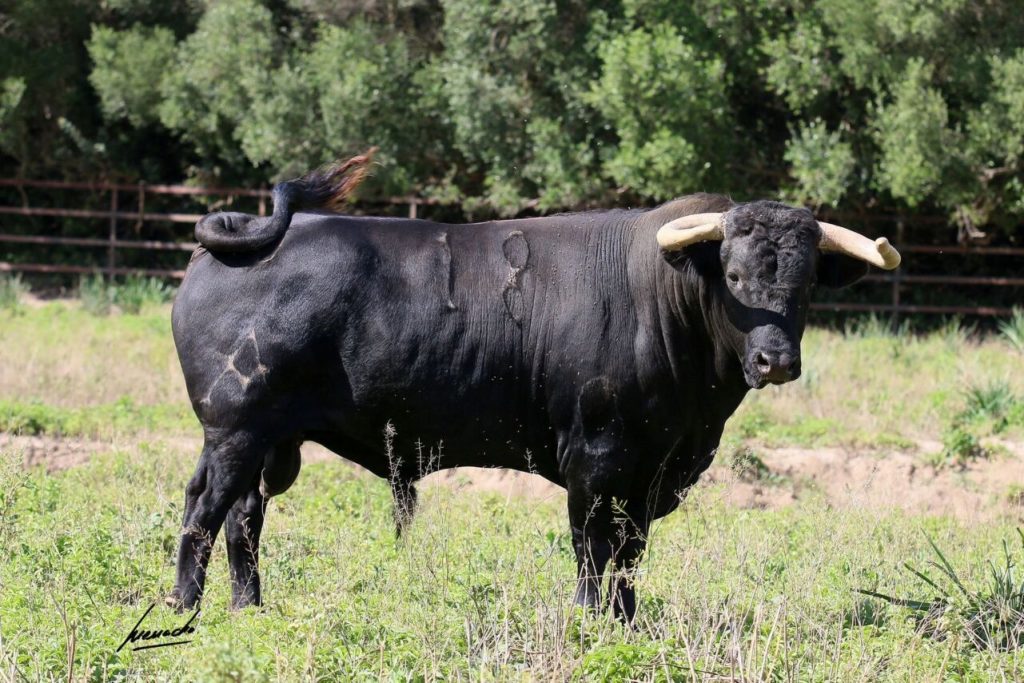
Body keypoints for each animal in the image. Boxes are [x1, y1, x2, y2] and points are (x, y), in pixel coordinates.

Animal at [165, 178, 872, 626]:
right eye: (732, 275)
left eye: (807, 283)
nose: (775, 361)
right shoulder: (597, 458)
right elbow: (593, 550)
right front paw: (590, 623)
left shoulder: (650, 474)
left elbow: (629, 556)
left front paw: (628, 624)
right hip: (232, 428)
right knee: (204, 508)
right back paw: (182, 608)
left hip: (267, 440)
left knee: (244, 517)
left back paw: (248, 609)